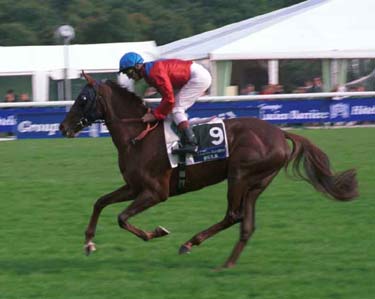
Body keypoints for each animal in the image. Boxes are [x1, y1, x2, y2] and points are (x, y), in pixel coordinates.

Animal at [58, 72, 358, 270]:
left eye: (82, 98)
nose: (63, 127)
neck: (139, 135)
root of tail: (279, 132)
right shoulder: (134, 186)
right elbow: (100, 202)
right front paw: (88, 243)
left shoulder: (155, 192)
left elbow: (121, 217)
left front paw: (157, 232)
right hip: (257, 183)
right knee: (246, 225)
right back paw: (227, 264)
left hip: (239, 175)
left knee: (233, 215)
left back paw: (190, 243)